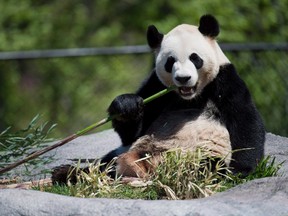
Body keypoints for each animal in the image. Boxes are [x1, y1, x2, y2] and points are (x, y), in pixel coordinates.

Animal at [51, 14, 266, 184]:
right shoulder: (156, 84)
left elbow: (245, 121)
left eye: (195, 58)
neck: (191, 96)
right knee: (106, 163)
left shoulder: (225, 80)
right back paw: (66, 173)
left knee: (204, 166)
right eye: (170, 62)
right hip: (127, 151)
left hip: (199, 155)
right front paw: (127, 106)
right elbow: (134, 130)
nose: (183, 78)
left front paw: (239, 171)